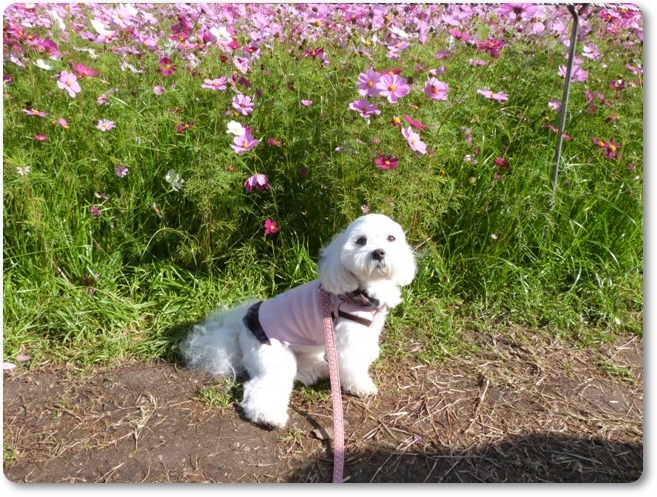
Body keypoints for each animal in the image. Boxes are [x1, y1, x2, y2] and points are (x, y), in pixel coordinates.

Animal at [181, 213, 416, 428]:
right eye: (361, 241)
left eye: (391, 238)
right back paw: (269, 417)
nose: (378, 252)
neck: (361, 291)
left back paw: (315, 370)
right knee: (262, 387)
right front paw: (361, 385)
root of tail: (242, 328)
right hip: (274, 358)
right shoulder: (349, 339)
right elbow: (353, 364)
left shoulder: (368, 331)